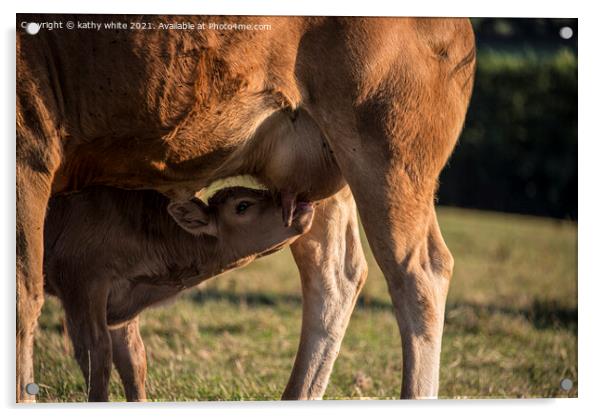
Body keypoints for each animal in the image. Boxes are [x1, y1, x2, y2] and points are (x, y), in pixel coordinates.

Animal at [42, 185, 314, 400]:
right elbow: (95, 357)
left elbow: (134, 360)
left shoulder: (121, 306)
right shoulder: (81, 285)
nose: (301, 203)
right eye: (242, 205)